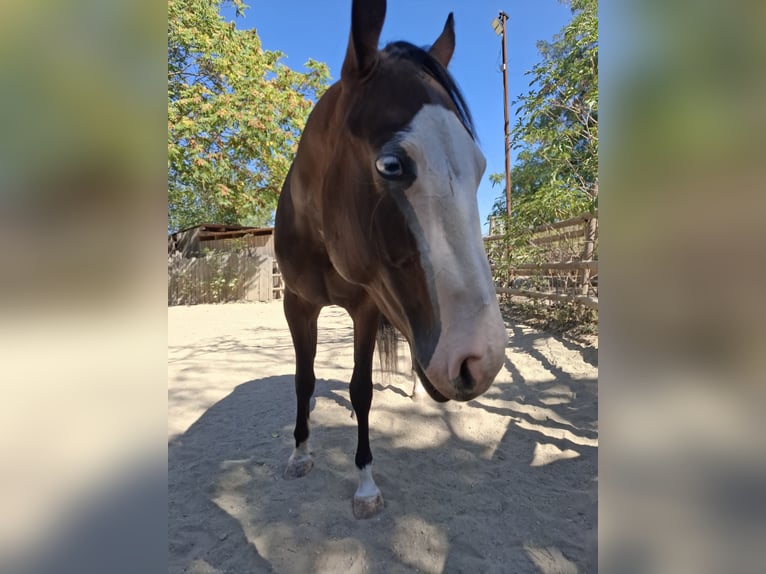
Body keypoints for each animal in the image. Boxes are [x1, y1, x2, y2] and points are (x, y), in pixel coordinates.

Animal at [273, 0, 508, 519]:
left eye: (480, 167)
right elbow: (303, 379)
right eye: (392, 165)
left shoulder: (366, 307)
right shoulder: (296, 305)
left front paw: (365, 483)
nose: (481, 363)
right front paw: (299, 453)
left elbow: (360, 389)